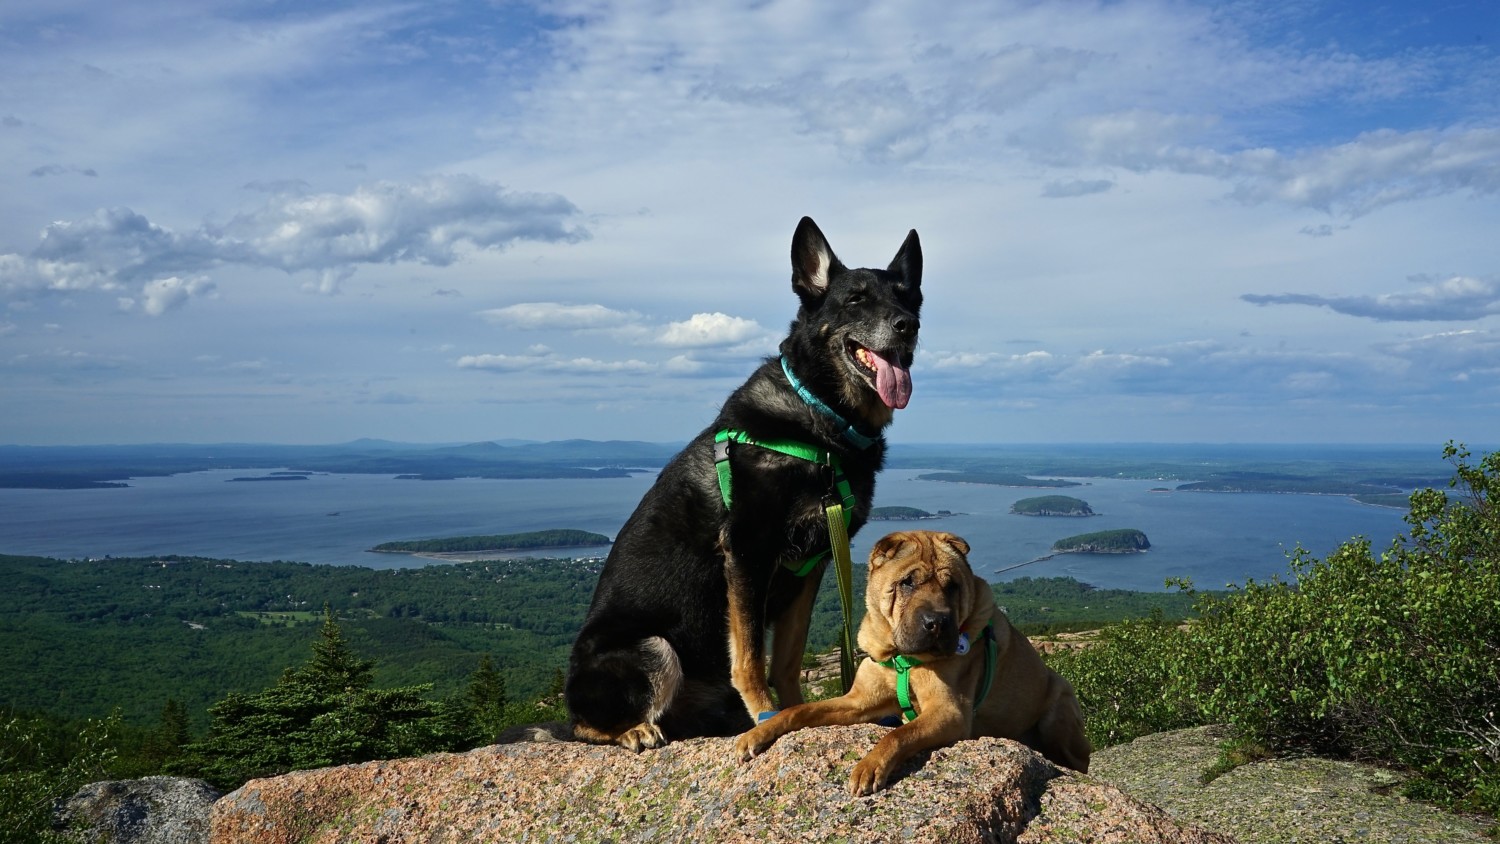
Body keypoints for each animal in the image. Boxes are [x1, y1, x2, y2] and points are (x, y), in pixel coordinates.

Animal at [564, 217, 918, 752]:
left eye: (908, 296)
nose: (908, 326)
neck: (819, 415)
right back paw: (633, 729)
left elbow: (787, 659)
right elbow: (750, 655)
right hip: (653, 647)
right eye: (856, 299)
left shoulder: (810, 566)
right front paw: (766, 713)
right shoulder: (750, 553)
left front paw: (796, 712)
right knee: (581, 724)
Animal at [738, 530, 1092, 797]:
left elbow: (899, 734)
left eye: (952, 586)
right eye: (907, 582)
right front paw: (758, 733)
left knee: (1078, 759)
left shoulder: (949, 712)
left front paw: (869, 766)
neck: (899, 656)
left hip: (1058, 713)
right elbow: (799, 711)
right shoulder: (859, 702)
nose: (937, 623)